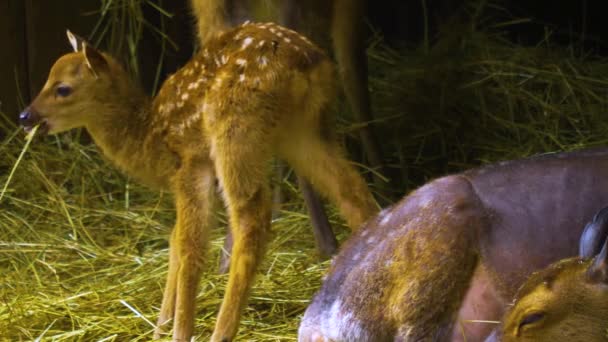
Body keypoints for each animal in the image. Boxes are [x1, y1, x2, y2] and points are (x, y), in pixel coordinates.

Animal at [19, 21, 378, 342]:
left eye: (62, 88)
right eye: (47, 78)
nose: (25, 116)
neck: (151, 136)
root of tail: (305, 62)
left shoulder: (191, 165)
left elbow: (189, 244)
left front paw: (178, 331)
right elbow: (176, 239)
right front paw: (161, 326)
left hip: (234, 128)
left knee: (251, 219)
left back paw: (222, 331)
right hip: (304, 130)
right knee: (353, 192)